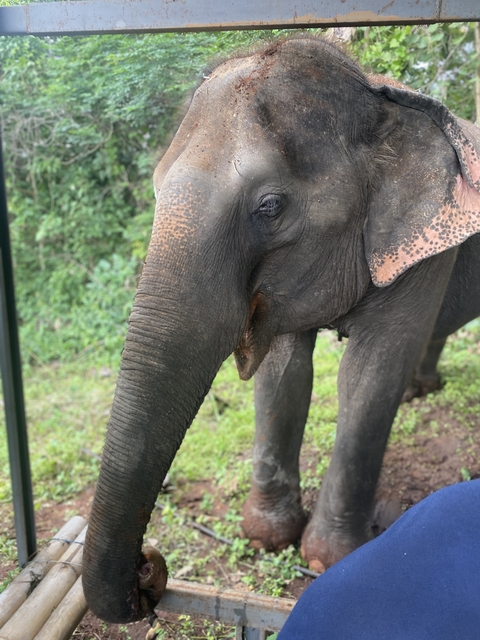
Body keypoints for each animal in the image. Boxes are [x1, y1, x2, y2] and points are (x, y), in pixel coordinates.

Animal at [83, 36, 480, 623]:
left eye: (270, 207)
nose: (149, 566)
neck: (377, 97)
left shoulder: (427, 247)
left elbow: (368, 376)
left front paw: (328, 558)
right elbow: (284, 374)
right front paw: (269, 537)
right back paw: (421, 391)